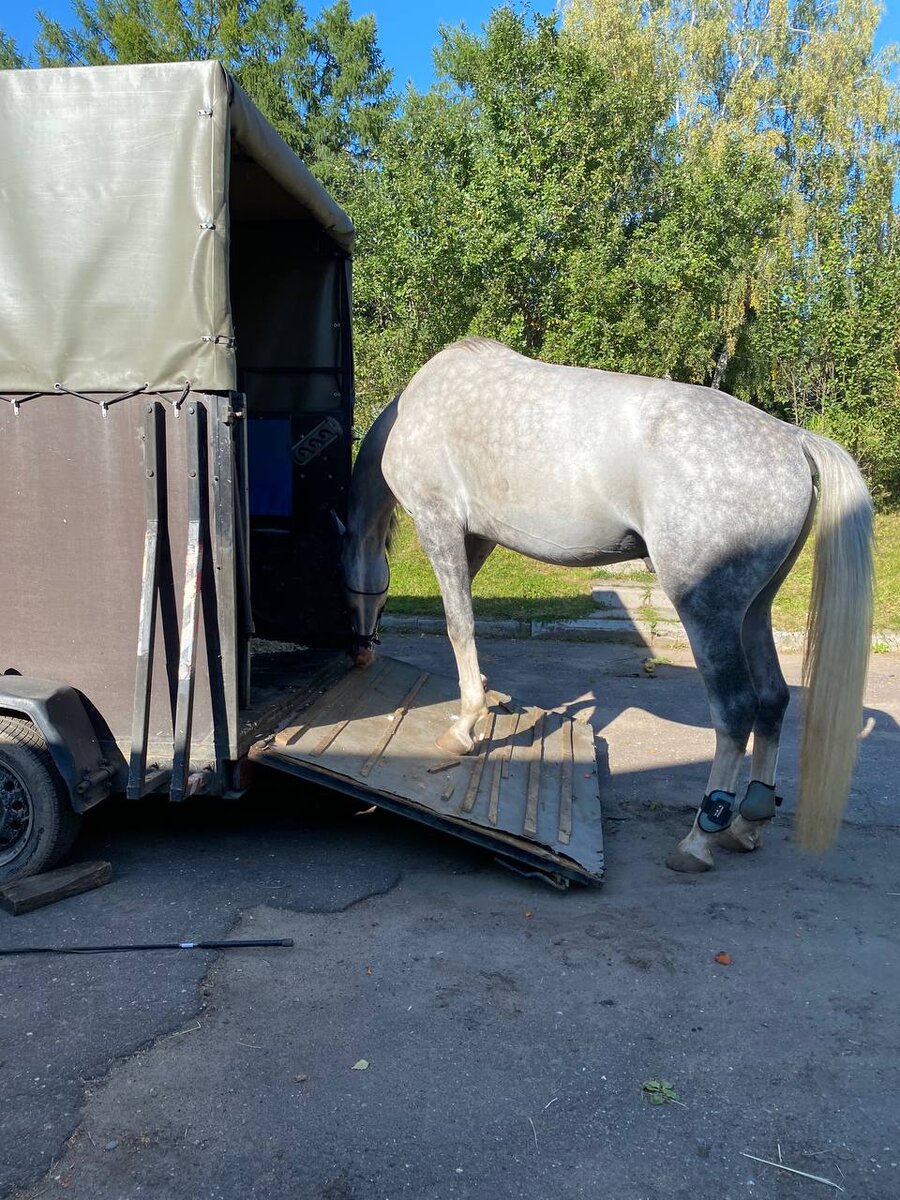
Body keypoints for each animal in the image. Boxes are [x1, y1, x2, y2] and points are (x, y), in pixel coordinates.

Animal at [338, 338, 873, 873]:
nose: (361, 653)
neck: (421, 407)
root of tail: (793, 439)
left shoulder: (440, 523)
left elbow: (458, 622)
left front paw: (465, 725)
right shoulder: (480, 536)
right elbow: (466, 611)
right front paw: (484, 691)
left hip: (708, 613)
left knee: (736, 709)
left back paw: (699, 839)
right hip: (753, 611)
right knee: (773, 699)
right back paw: (747, 825)